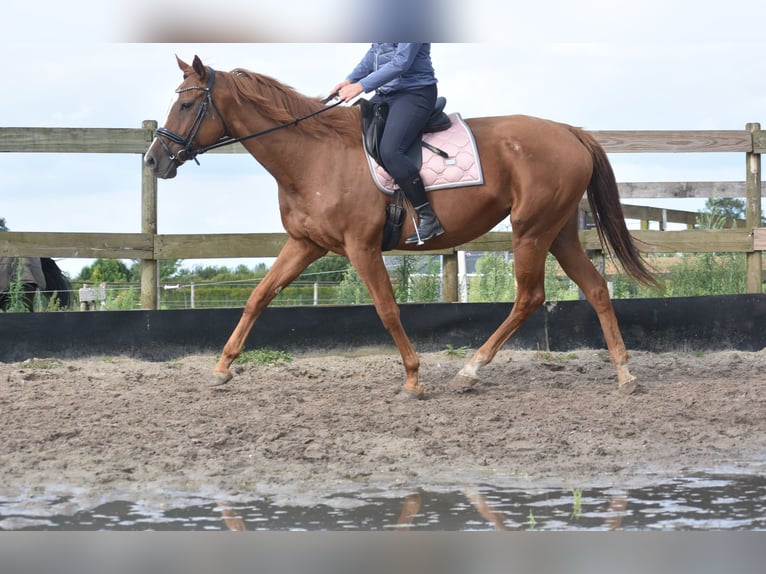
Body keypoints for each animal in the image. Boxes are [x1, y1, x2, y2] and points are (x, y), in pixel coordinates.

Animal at [146, 57, 660, 400]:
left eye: (187, 104)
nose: (153, 161)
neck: (313, 154)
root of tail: (570, 131)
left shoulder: (361, 247)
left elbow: (388, 310)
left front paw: (413, 378)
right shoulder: (306, 244)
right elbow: (259, 296)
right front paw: (221, 368)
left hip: (531, 231)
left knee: (530, 297)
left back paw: (471, 370)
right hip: (559, 232)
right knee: (596, 288)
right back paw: (625, 374)